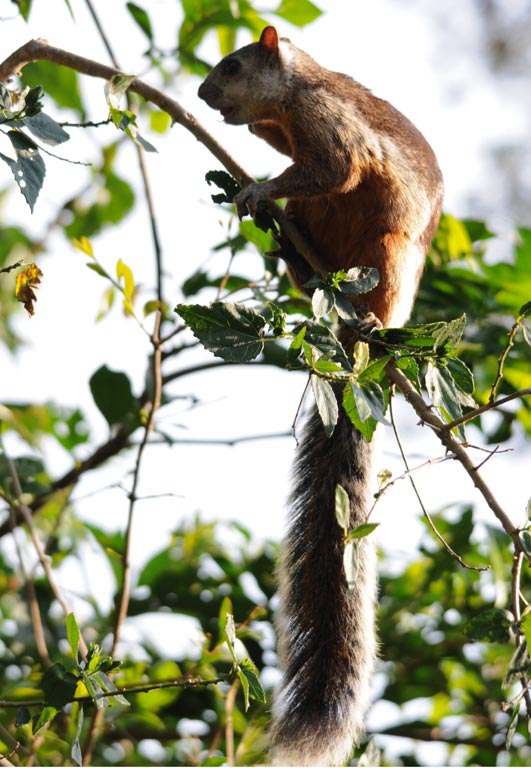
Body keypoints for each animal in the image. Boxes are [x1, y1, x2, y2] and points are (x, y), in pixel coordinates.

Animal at [197, 25, 442, 768]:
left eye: (231, 65)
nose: (202, 95)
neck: (295, 94)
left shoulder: (329, 124)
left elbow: (335, 167)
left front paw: (256, 187)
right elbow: (296, 166)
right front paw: (254, 179)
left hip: (386, 257)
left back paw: (365, 318)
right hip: (325, 242)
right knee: (309, 230)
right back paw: (294, 259)